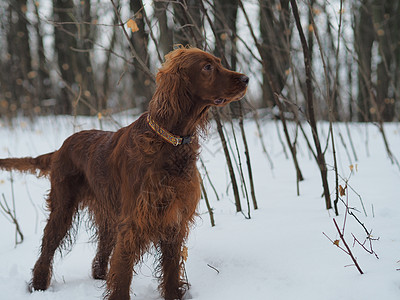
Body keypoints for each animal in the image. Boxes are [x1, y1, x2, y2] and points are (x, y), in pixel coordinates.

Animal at [0, 46, 248, 298]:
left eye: (218, 61)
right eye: (207, 67)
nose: (246, 79)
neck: (169, 142)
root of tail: (61, 147)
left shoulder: (173, 221)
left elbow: (170, 271)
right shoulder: (133, 222)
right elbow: (123, 273)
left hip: (108, 215)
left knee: (101, 250)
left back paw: (99, 275)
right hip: (63, 208)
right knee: (47, 248)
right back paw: (39, 286)